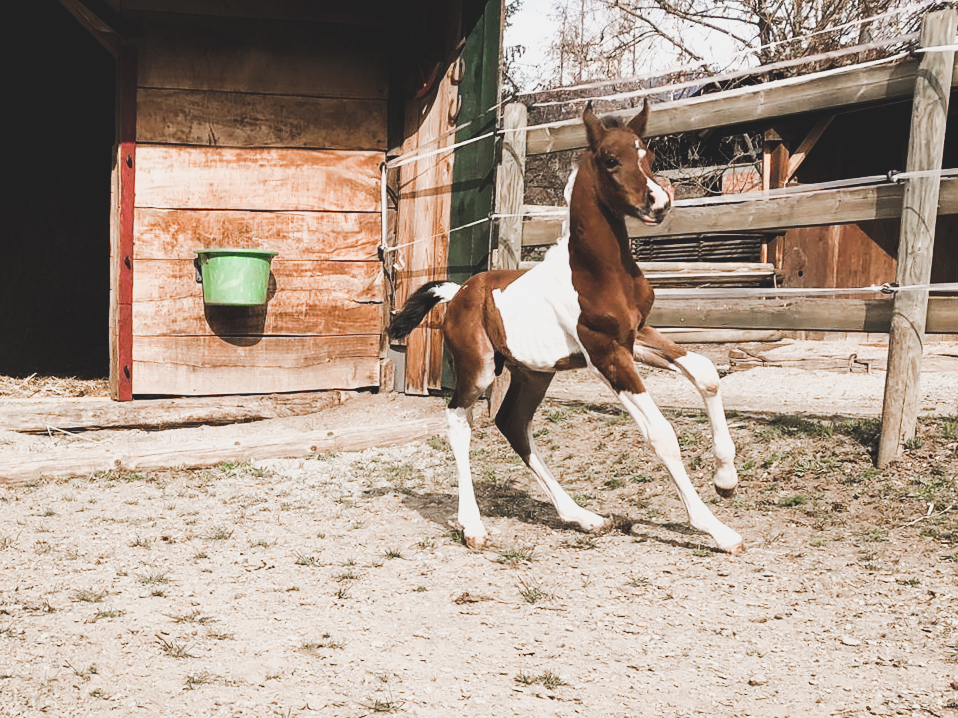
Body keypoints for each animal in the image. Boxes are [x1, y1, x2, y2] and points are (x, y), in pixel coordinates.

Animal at [390, 102, 744, 556]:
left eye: (647, 155)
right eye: (610, 160)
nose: (659, 201)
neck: (599, 272)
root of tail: (457, 291)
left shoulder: (635, 337)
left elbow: (705, 371)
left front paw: (726, 480)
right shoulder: (606, 353)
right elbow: (661, 433)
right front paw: (718, 530)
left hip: (533, 372)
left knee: (513, 424)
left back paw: (584, 517)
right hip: (479, 369)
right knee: (458, 420)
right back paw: (473, 527)